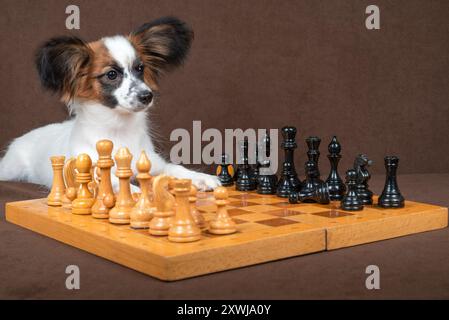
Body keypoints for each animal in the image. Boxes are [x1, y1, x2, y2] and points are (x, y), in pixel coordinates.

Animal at [0, 16, 220, 190]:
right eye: (112, 74)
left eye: (140, 68)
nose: (147, 96)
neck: (118, 128)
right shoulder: (90, 172)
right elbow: (115, 182)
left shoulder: (155, 164)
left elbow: (175, 167)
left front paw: (201, 177)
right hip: (10, 169)